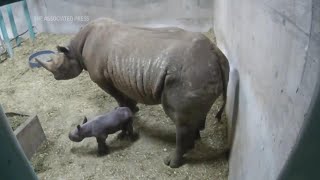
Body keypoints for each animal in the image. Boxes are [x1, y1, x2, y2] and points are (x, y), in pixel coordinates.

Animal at [36, 17, 229, 168]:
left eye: (60, 68)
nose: (55, 77)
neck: (75, 49)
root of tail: (216, 54)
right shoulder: (118, 73)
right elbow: (125, 95)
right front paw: (132, 110)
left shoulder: (101, 78)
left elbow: (118, 97)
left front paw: (127, 110)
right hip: (199, 74)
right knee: (194, 117)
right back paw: (195, 141)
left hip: (190, 76)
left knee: (180, 121)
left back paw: (170, 163)